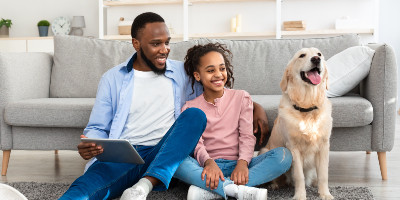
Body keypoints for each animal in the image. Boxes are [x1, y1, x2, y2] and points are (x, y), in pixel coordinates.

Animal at [258, 47, 332, 199]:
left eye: (319, 54)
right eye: (302, 55)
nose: (316, 59)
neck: (307, 107)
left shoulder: (324, 145)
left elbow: (323, 174)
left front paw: (325, 194)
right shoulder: (293, 147)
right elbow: (299, 176)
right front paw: (300, 195)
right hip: (264, 150)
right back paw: (275, 185)